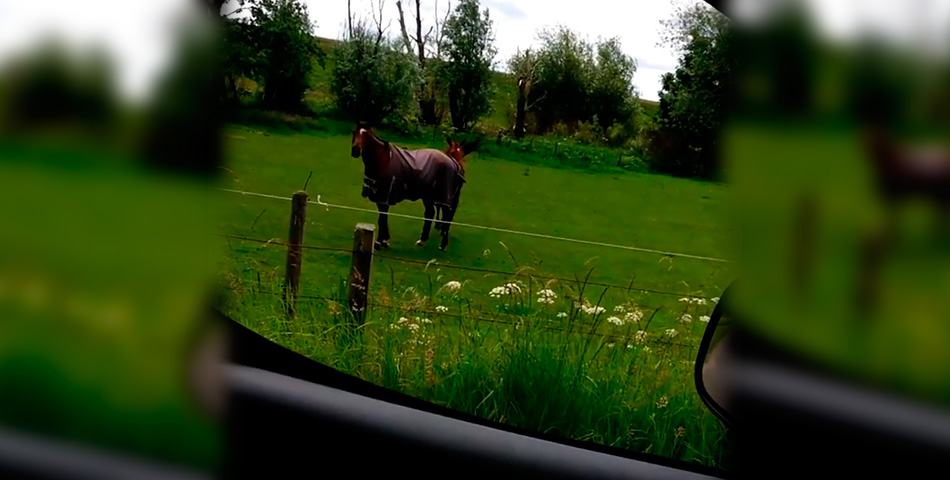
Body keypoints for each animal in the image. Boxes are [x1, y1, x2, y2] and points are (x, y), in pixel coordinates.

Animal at [350, 123, 472, 251]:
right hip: (428, 196)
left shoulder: (384, 197)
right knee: (430, 213)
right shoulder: (381, 198)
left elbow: (382, 219)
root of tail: (453, 162)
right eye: (354, 132)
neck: (383, 160)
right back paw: (422, 240)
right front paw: (384, 240)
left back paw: (442, 244)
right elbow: (383, 218)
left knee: (447, 215)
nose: (355, 151)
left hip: (443, 196)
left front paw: (379, 242)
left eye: (366, 136)